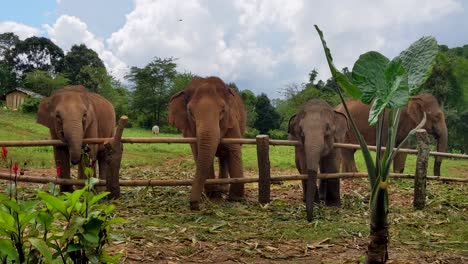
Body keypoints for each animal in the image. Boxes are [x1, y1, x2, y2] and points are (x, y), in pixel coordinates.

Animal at [169, 76, 249, 210]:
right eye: (190, 112)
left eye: (222, 111)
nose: (194, 205)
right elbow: (199, 152)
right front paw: (213, 197)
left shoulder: (232, 121)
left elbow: (234, 149)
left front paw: (236, 199)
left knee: (224, 156)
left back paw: (223, 189)